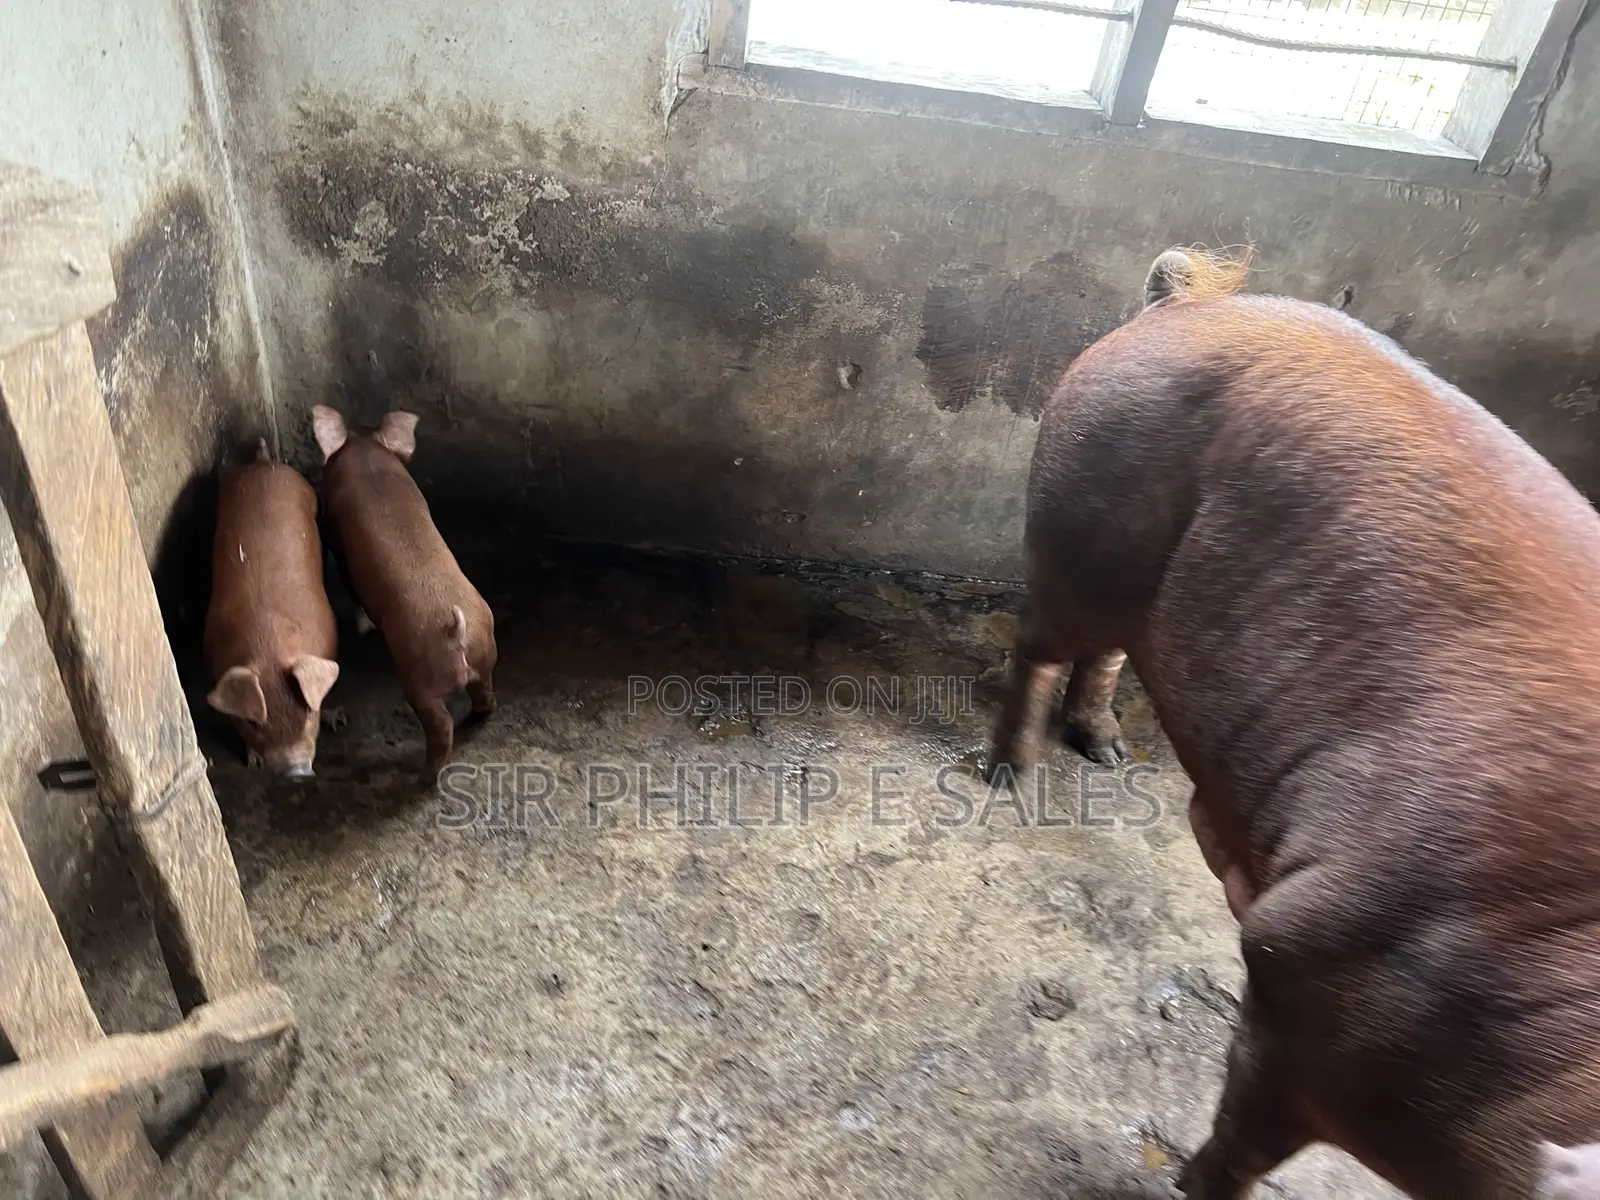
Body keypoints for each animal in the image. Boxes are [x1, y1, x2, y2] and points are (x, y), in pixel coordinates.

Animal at [203, 438, 340, 779]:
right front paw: (253, 759)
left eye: (308, 715)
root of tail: (265, 463)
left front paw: (335, 718)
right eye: (254, 724)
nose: (296, 772)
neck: (268, 643)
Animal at [311, 406, 496, 775]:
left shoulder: (340, 543)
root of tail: (455, 629)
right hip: (486, 649)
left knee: (441, 723)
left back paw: (430, 770)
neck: (367, 458)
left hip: (417, 676)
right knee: (484, 688)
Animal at [987, 248, 1600, 1199]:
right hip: (1079, 520)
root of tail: (1185, 304)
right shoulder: (1314, 970)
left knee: (1106, 652)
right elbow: (1244, 1133)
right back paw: (1010, 778)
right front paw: (1190, 1185)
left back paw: (1108, 753)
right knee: (1042, 648)